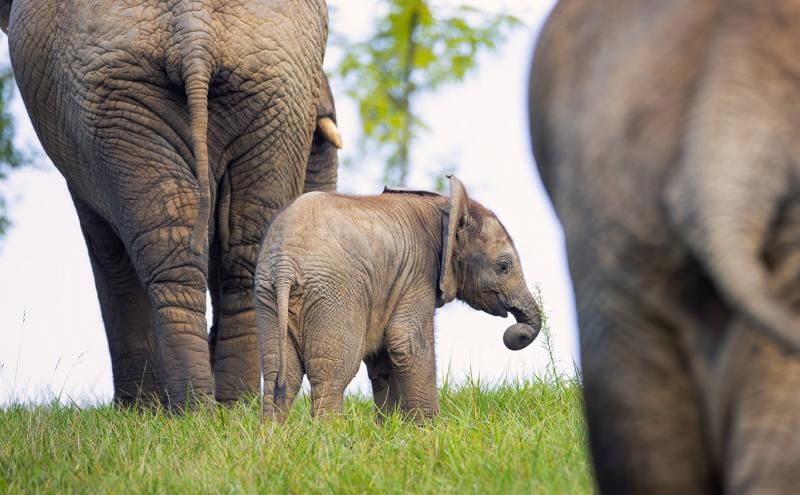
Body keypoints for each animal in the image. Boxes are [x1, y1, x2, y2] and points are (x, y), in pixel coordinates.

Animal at [2, 0, 342, 408]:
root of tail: (193, 26)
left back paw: (206, 407)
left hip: (246, 82)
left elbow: (108, 247)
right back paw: (218, 407)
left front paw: (137, 410)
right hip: (153, 93)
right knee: (220, 249)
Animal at [255, 175, 542, 423]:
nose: (517, 331)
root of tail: (285, 265)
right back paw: (331, 438)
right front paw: (431, 431)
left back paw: (273, 439)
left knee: (279, 376)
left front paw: (390, 430)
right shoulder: (418, 271)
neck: (445, 208)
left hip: (268, 296)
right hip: (333, 293)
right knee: (331, 376)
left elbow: (382, 359)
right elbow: (408, 343)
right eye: (503, 267)